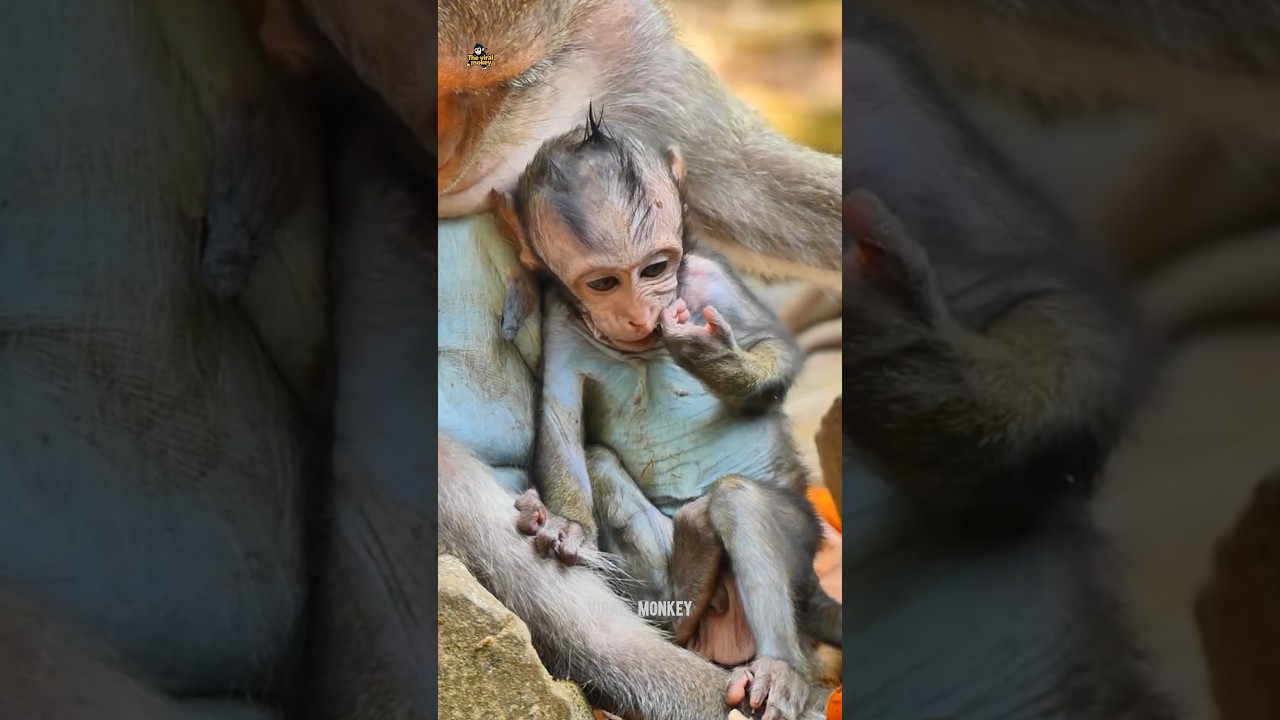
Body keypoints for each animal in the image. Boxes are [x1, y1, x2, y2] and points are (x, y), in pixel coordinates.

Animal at [488, 113, 841, 720]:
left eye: (656, 268)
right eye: (604, 283)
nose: (639, 313)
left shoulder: (708, 279)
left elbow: (775, 350)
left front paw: (716, 359)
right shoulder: (561, 317)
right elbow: (560, 417)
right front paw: (568, 525)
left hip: (803, 535)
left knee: (741, 502)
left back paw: (779, 668)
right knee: (600, 461)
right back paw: (685, 585)